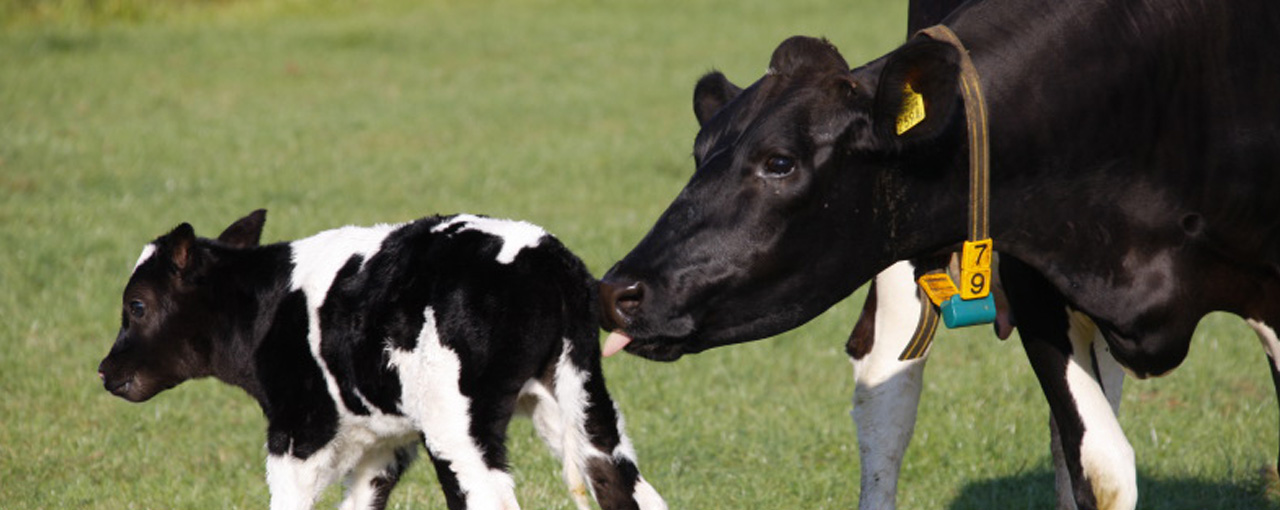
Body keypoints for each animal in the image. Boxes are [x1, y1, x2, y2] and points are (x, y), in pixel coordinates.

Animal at [97, 210, 666, 510]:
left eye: (137, 305)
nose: (105, 371)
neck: (268, 306)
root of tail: (546, 259)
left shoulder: (296, 433)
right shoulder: (382, 441)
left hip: (458, 426)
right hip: (578, 397)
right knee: (621, 481)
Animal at [596, 1, 1280, 509]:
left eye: (780, 162)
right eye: (698, 151)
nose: (615, 291)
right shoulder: (1034, 274)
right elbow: (1102, 469)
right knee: (887, 391)